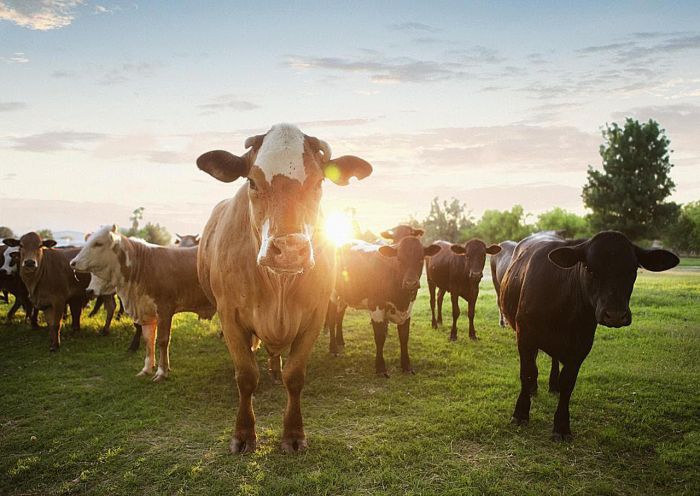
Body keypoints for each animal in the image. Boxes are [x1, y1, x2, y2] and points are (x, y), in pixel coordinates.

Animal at [71, 227, 215, 382]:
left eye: (98, 243)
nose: (73, 262)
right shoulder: (146, 311)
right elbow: (148, 339)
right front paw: (146, 369)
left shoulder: (165, 310)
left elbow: (162, 340)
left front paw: (162, 372)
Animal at [197, 124, 372, 454]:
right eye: (252, 181)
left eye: (318, 182)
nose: (289, 249)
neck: (278, 287)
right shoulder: (229, 315)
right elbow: (246, 376)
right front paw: (243, 434)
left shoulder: (315, 315)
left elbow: (295, 376)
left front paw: (293, 433)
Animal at [500, 231, 680, 440]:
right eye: (588, 267)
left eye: (633, 269)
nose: (615, 314)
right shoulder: (525, 335)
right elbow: (528, 372)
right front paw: (521, 413)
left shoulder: (582, 345)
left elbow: (568, 383)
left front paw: (562, 426)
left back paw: (553, 386)